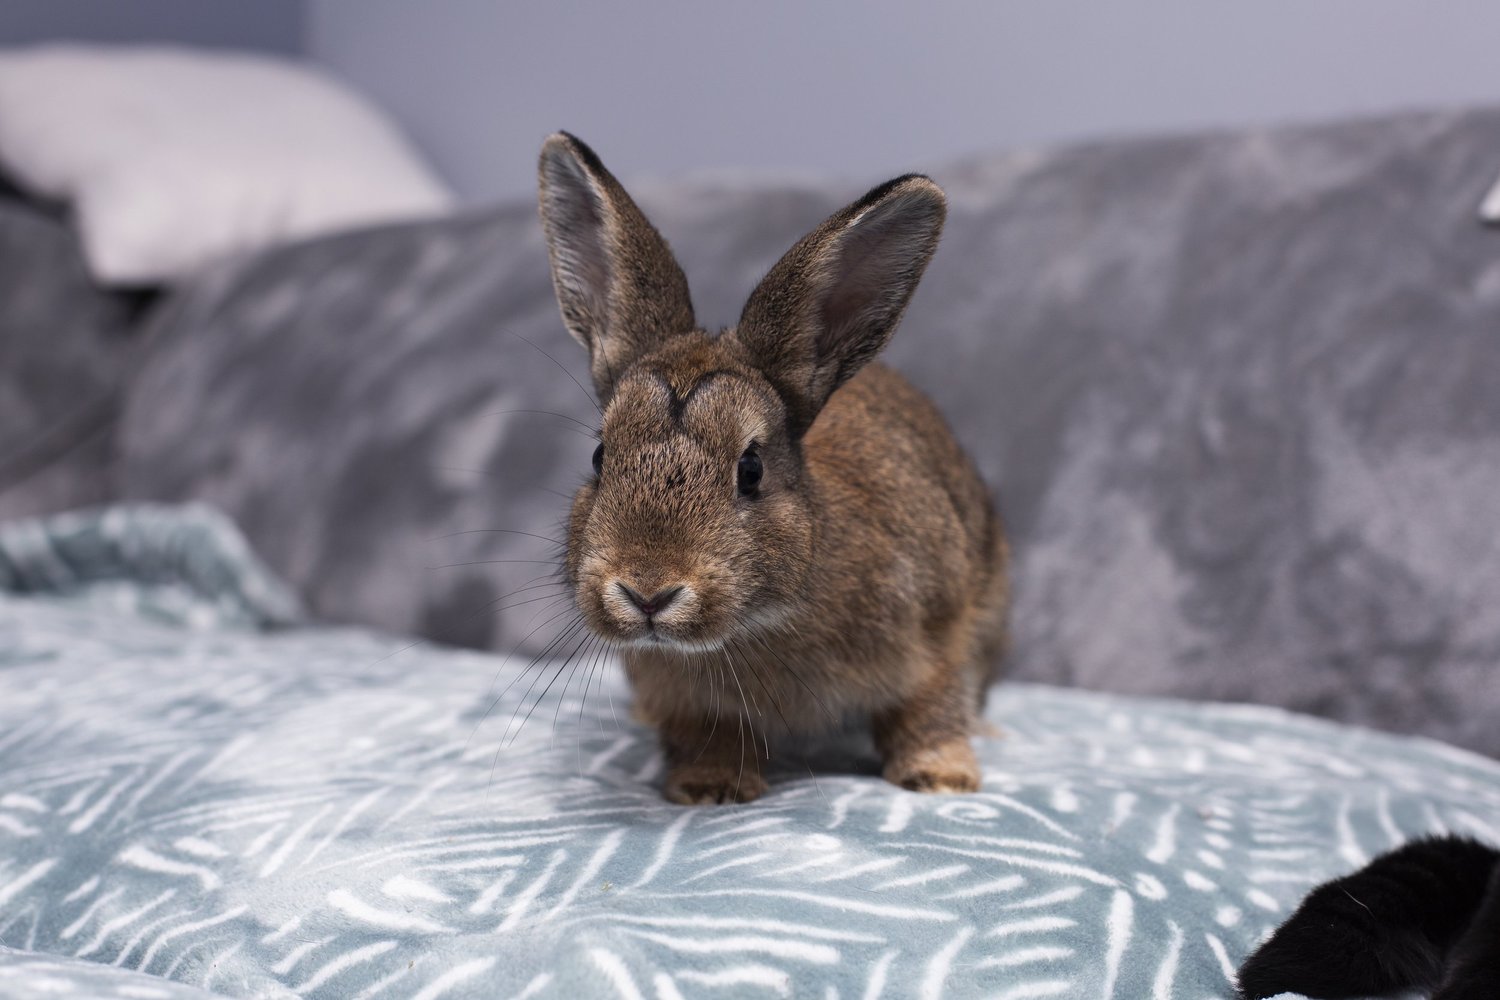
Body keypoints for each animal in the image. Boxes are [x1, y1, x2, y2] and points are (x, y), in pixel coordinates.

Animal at [537, 132, 1009, 805]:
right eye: (601, 457)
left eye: (751, 469)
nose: (647, 592)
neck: (758, 623)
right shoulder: (689, 699)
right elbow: (709, 736)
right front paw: (710, 787)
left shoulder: (939, 627)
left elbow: (930, 706)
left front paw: (941, 778)